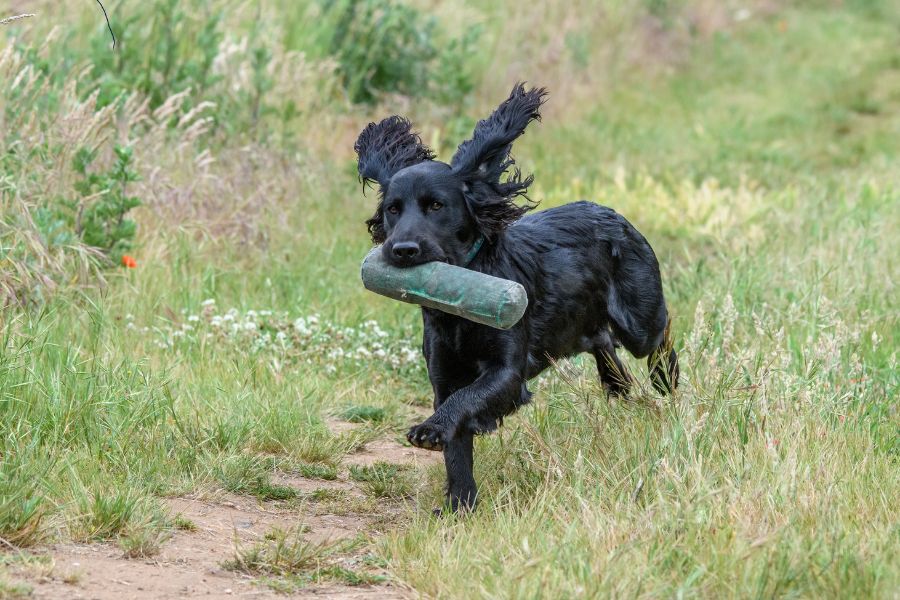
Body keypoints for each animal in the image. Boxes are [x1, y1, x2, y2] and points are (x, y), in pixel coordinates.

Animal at [356, 83, 680, 510]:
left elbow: (467, 401)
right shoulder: (444, 375)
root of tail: (613, 212)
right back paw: (619, 386)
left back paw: (666, 381)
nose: (402, 250)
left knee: (659, 333)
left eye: (436, 205)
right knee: (602, 343)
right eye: (393, 209)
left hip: (638, 318)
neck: (458, 310)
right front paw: (460, 506)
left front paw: (431, 428)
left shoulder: (507, 373)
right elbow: (457, 448)